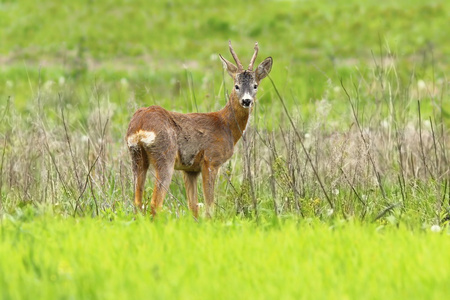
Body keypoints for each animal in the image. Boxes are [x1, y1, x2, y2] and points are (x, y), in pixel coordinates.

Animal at [128, 41, 272, 217]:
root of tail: (140, 124)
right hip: (165, 156)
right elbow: (210, 206)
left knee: (137, 203)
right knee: (155, 204)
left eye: (255, 86)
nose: (246, 101)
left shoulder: (190, 170)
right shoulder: (211, 160)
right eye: (236, 86)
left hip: (136, 157)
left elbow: (193, 207)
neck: (226, 126)